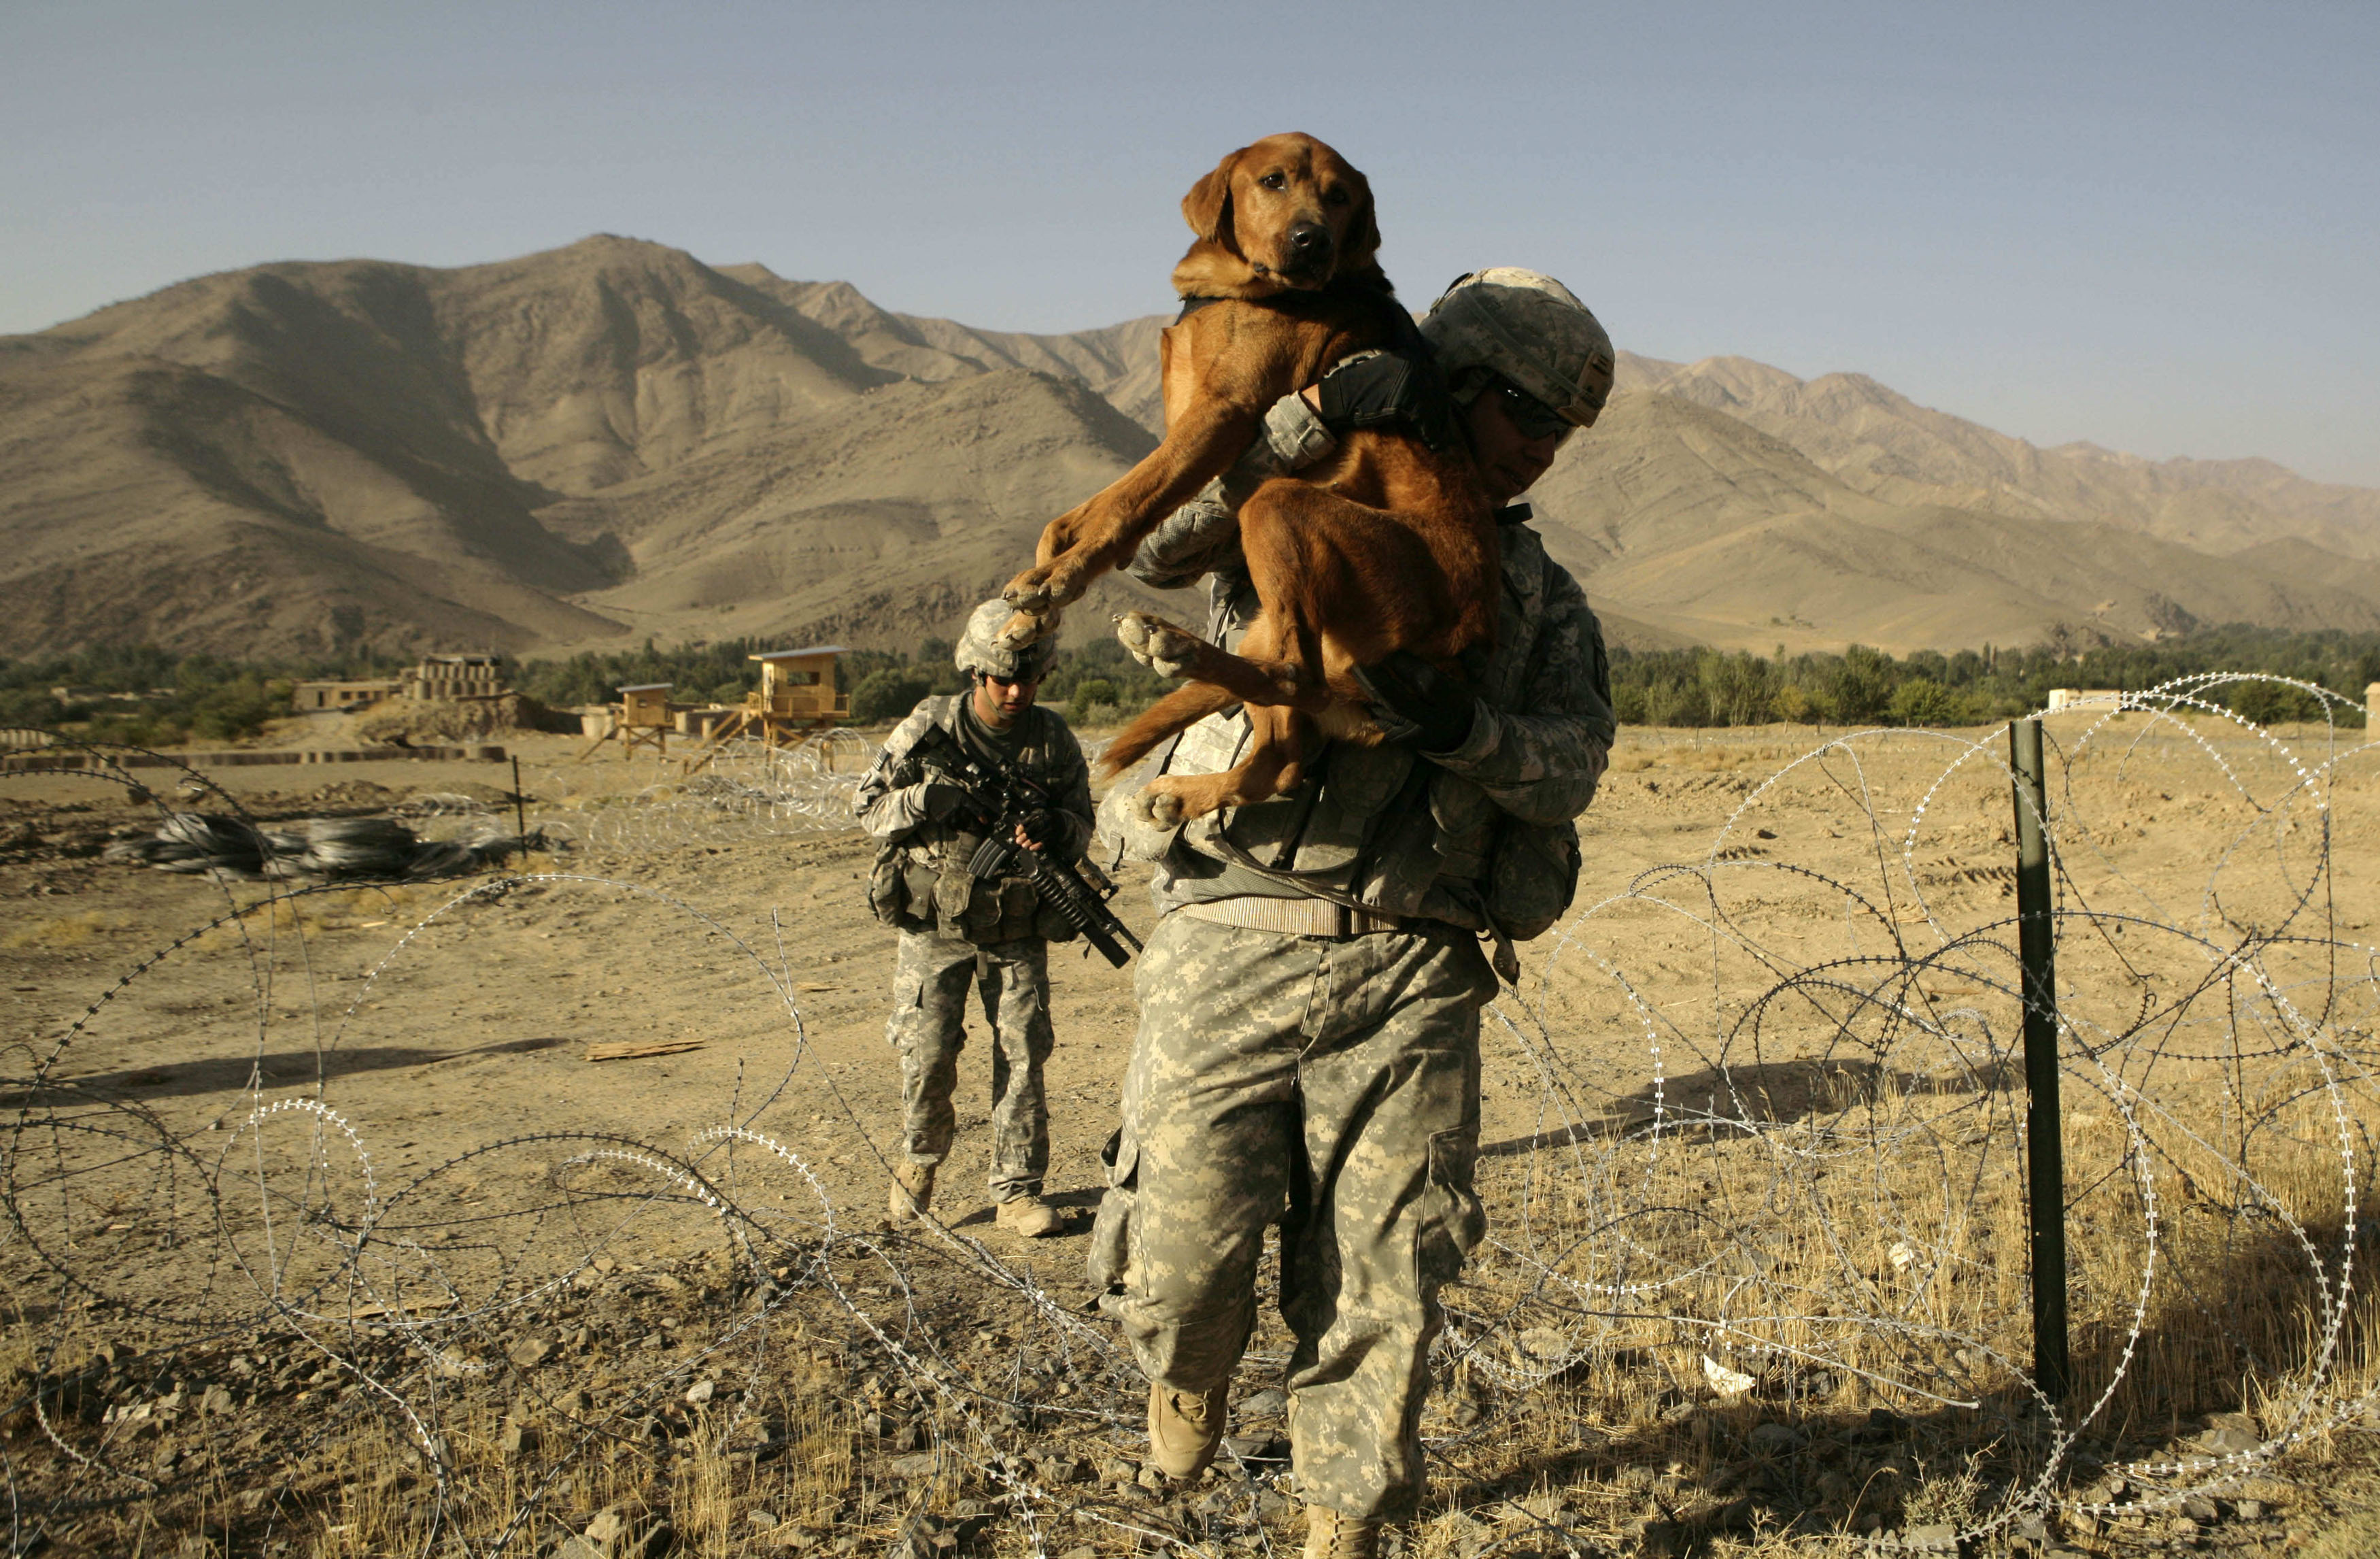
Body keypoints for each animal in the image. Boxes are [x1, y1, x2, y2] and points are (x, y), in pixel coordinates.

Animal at [995, 131, 1495, 828]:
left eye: (1340, 197)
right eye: (1273, 181)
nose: (1314, 241)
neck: (1245, 290)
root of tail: (1465, 639)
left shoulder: (1220, 416)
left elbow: (1125, 505)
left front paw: (1057, 578)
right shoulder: (1186, 431)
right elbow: (1075, 517)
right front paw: (1028, 617)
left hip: (1280, 506)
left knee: (1294, 675)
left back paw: (1173, 647)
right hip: (1277, 617)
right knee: (1279, 757)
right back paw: (1182, 769)